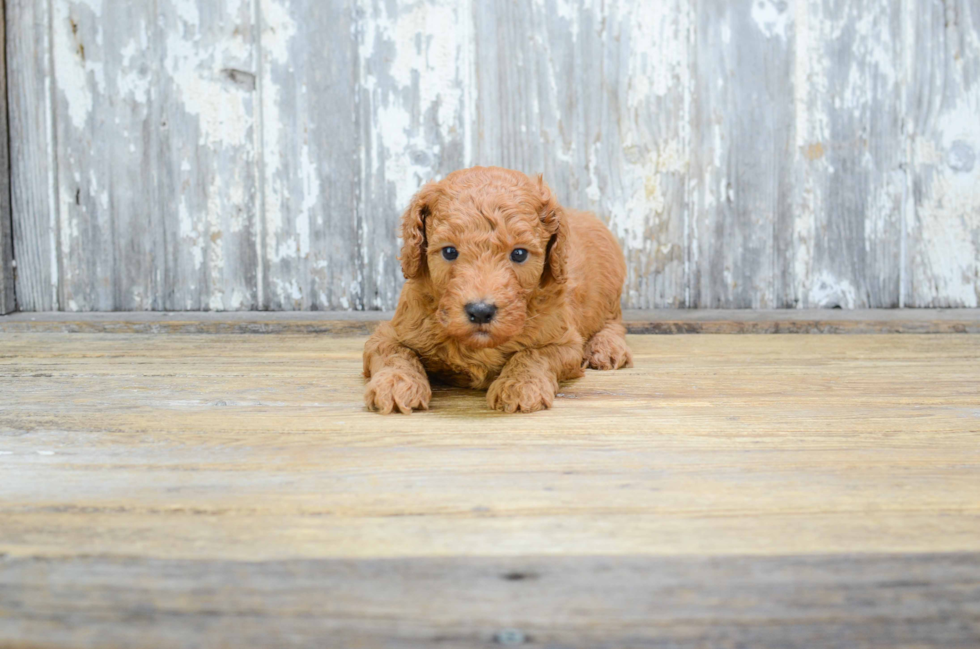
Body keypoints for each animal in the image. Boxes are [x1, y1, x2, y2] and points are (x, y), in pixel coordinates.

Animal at [364, 165, 632, 412]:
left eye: (519, 253)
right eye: (449, 251)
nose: (481, 311)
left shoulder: (565, 341)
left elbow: (533, 354)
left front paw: (520, 386)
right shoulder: (390, 332)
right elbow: (395, 352)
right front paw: (395, 383)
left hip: (610, 290)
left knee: (614, 321)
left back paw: (606, 348)